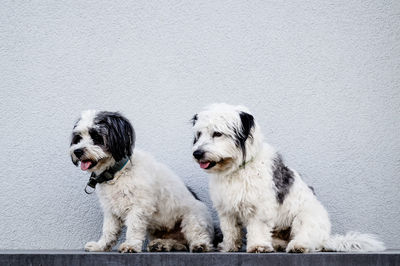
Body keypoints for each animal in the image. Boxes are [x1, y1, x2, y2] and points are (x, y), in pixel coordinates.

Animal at [70, 110, 216, 254]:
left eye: (96, 137)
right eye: (78, 138)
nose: (77, 151)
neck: (117, 173)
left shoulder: (139, 206)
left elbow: (133, 227)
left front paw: (130, 245)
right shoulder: (111, 210)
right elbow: (108, 230)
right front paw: (100, 246)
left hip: (192, 217)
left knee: (197, 235)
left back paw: (200, 245)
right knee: (180, 244)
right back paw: (161, 245)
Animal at [191, 103, 384, 252]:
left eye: (217, 133)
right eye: (199, 134)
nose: (197, 153)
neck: (238, 169)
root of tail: (327, 238)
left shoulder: (260, 207)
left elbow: (258, 227)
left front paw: (258, 246)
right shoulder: (226, 209)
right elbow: (230, 230)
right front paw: (229, 247)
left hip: (305, 218)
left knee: (308, 239)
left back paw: (298, 246)